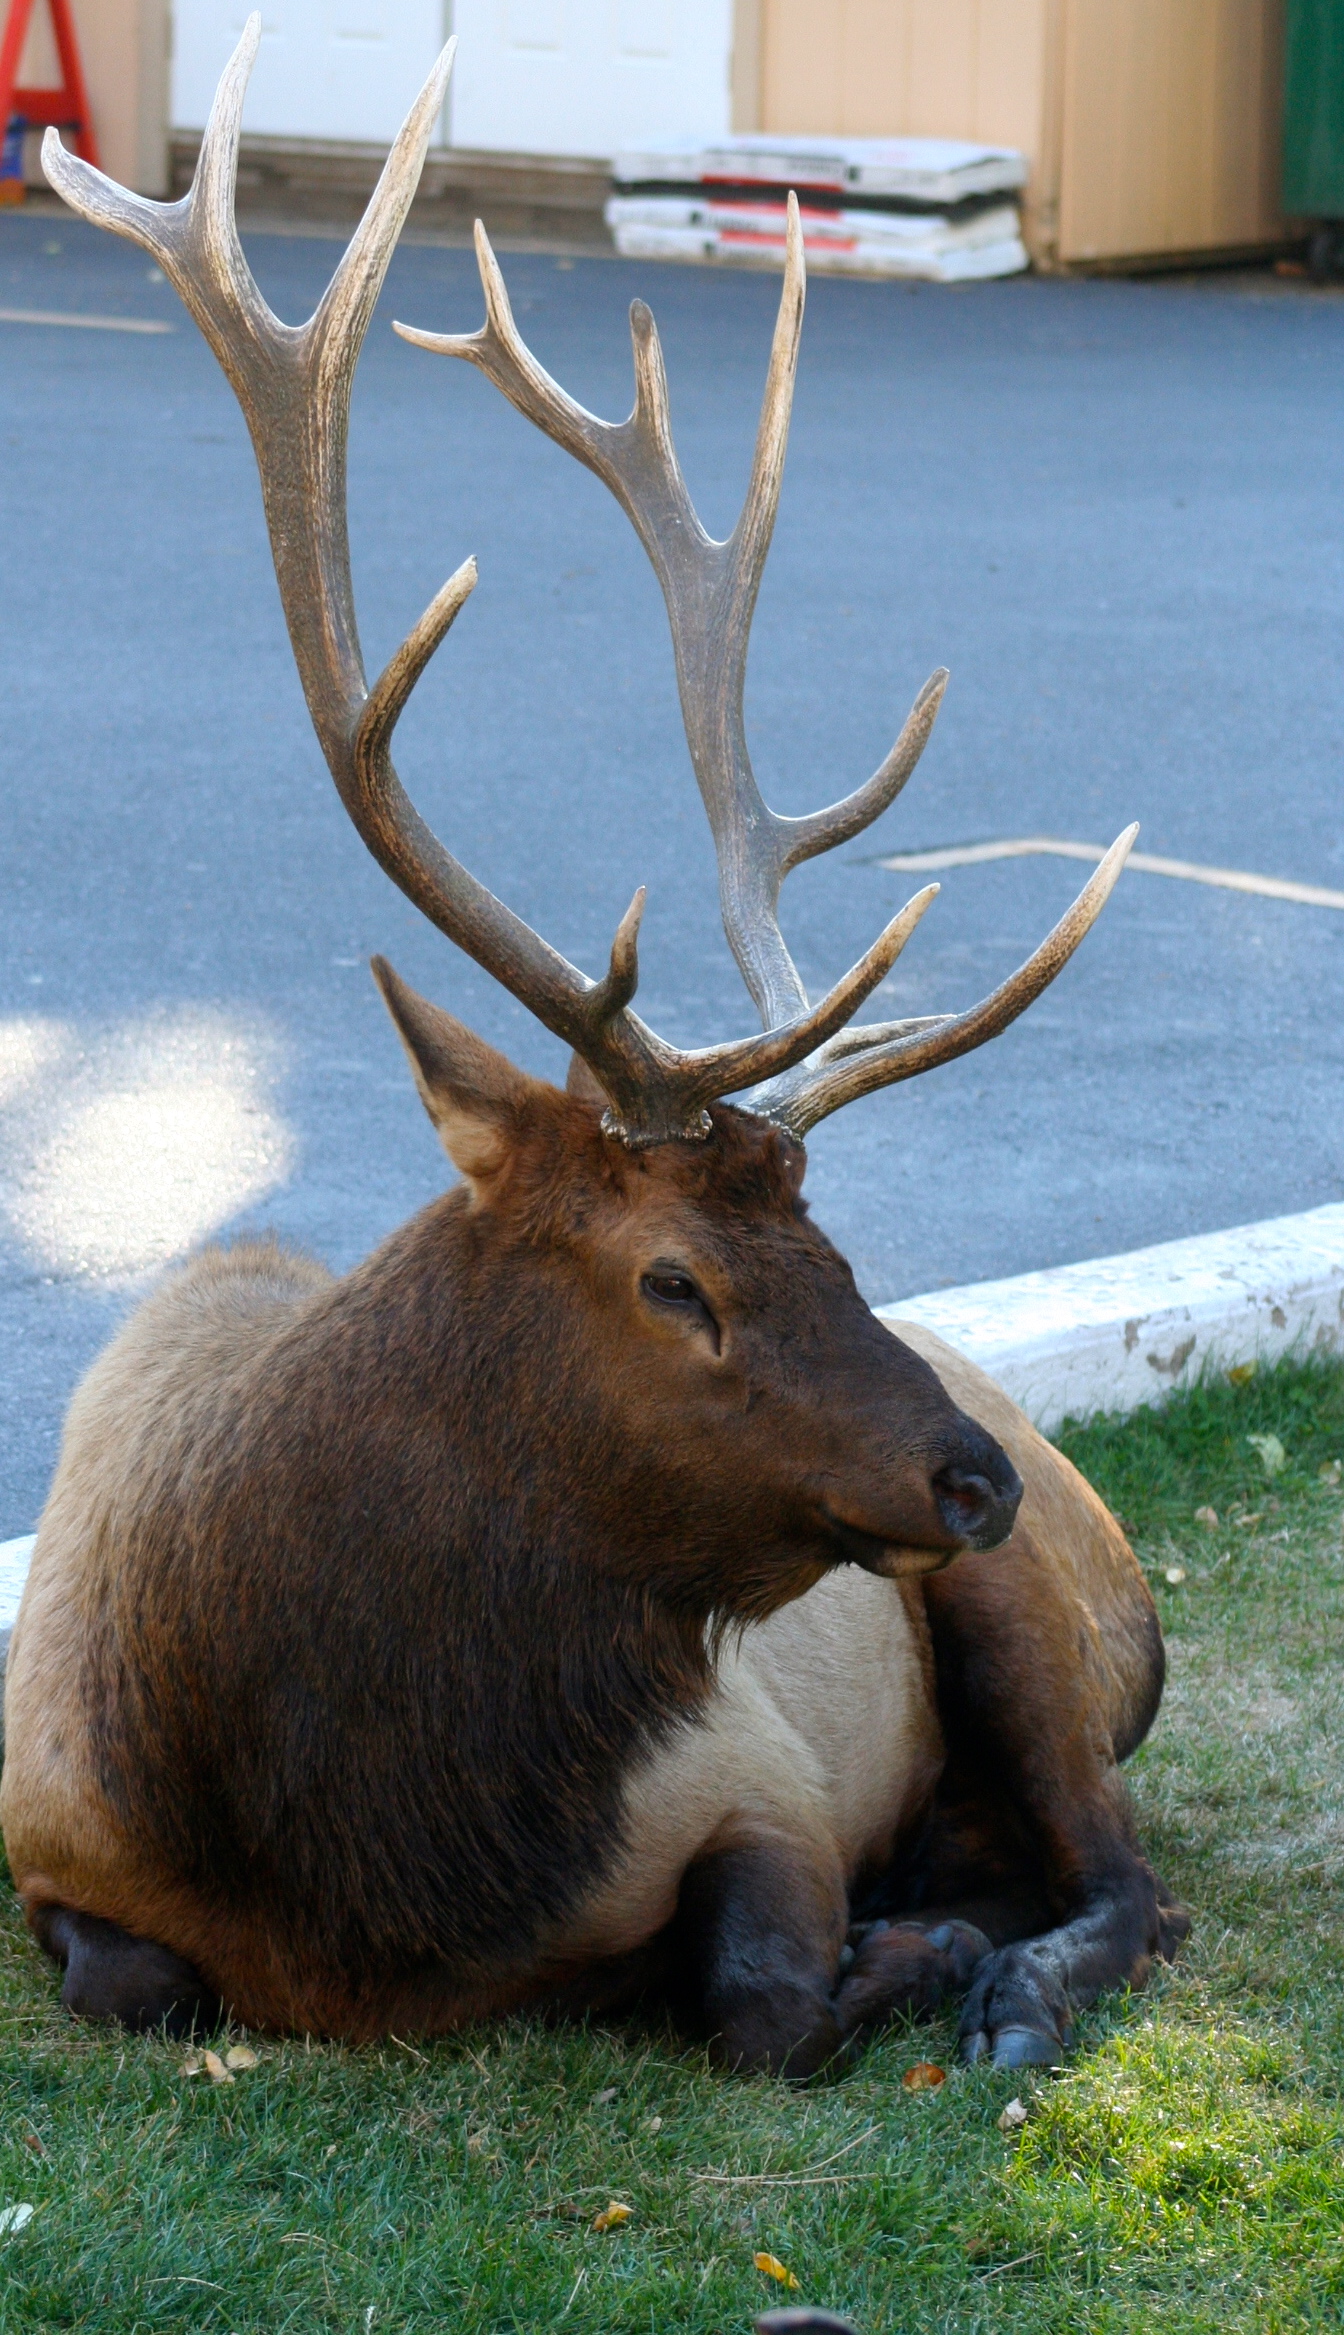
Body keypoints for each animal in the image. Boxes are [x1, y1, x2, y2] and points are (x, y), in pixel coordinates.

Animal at [1, 20, 1188, 2077]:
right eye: (673, 1277)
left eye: (834, 1243)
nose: (971, 1479)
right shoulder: (45, 1843)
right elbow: (136, 1977)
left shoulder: (753, 1774)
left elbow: (759, 1998)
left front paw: (910, 1952)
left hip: (1033, 1624)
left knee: (1128, 1877)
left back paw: (1007, 1970)